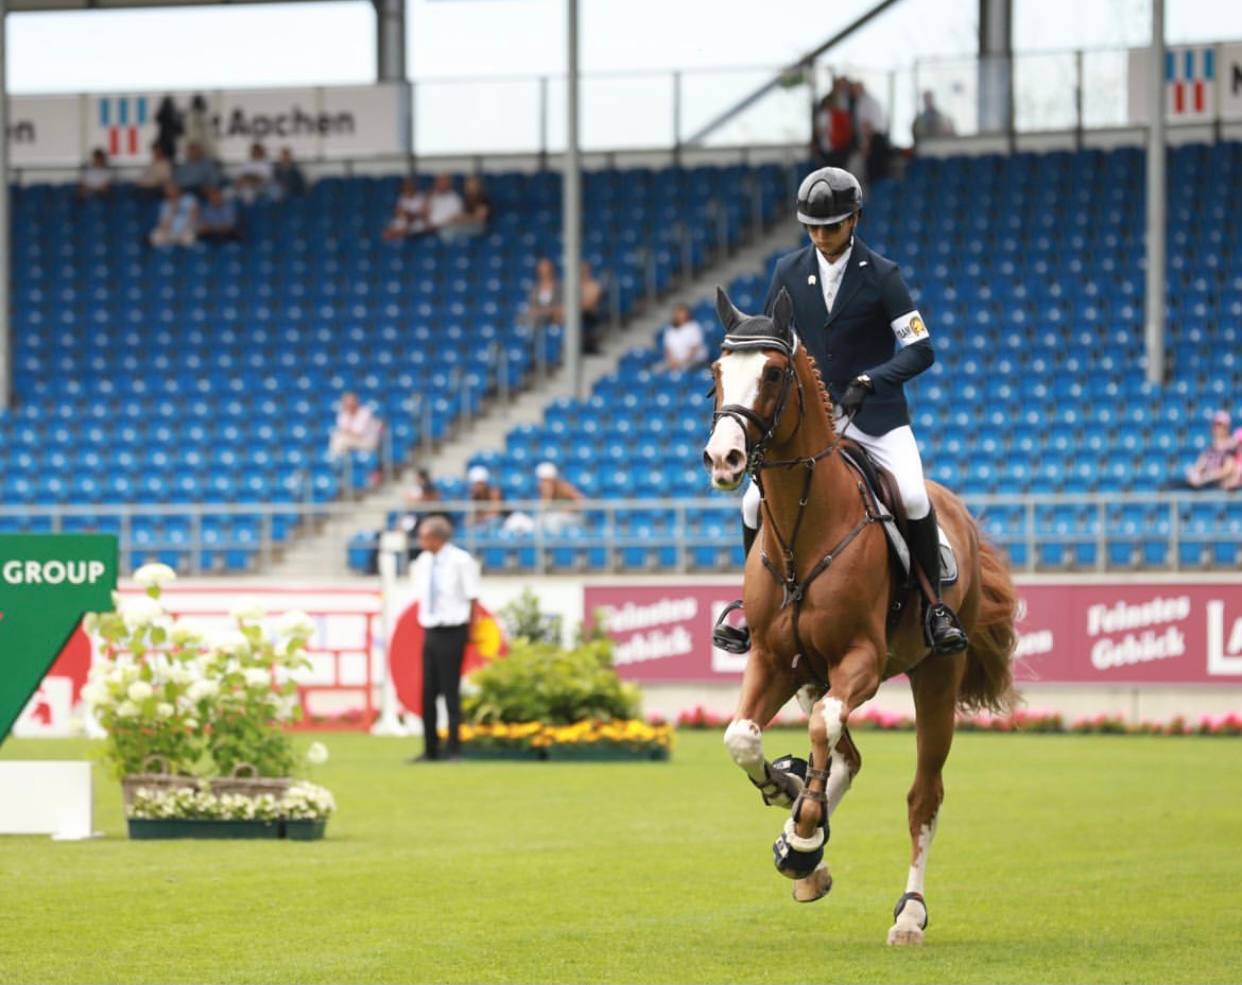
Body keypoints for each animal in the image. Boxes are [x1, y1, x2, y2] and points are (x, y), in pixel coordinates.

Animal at [701, 286, 1018, 945]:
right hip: (812, 673)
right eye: (716, 372)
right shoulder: (775, 660)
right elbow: (742, 736)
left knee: (923, 795)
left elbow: (825, 729)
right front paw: (786, 794)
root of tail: (958, 511)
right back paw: (802, 836)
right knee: (845, 753)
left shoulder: (863, 662)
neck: (805, 526)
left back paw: (907, 912)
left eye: (774, 373)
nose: (724, 457)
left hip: (934, 675)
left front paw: (803, 832)